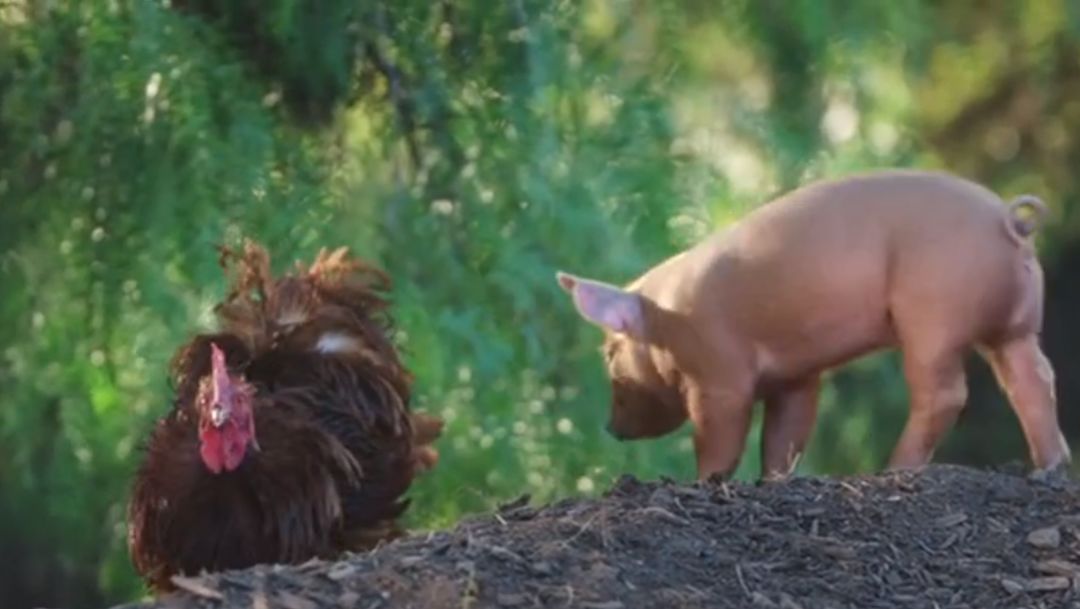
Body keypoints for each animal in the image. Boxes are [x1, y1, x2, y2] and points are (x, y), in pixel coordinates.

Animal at [557, 169, 1071, 481]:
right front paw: (772, 482)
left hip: (933, 316)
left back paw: (891, 471)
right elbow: (786, 434)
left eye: (610, 352)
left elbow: (720, 436)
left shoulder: (718, 373)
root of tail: (1008, 221)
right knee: (1034, 378)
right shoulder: (796, 376)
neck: (665, 315)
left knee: (944, 393)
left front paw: (705, 483)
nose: (610, 428)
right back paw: (1048, 469)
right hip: (1015, 326)